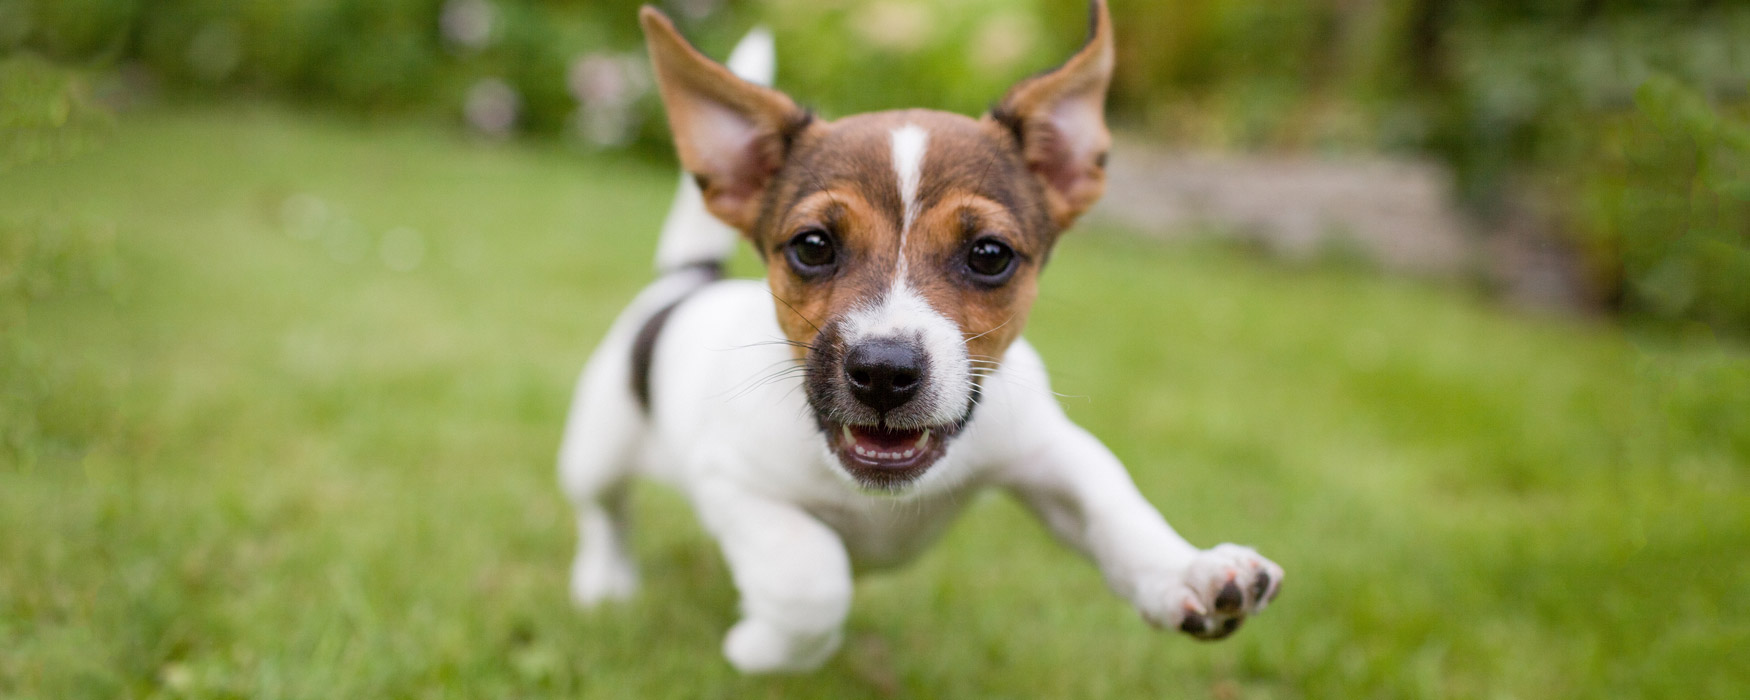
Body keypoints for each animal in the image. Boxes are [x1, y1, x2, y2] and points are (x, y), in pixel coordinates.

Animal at [560, 2, 1288, 675]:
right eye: (812, 246)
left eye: (990, 254)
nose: (883, 372)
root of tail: (687, 280)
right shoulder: (734, 483)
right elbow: (812, 580)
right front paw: (761, 649)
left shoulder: (1050, 452)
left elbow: (1117, 509)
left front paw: (1188, 572)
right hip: (596, 444)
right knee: (604, 512)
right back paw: (605, 581)